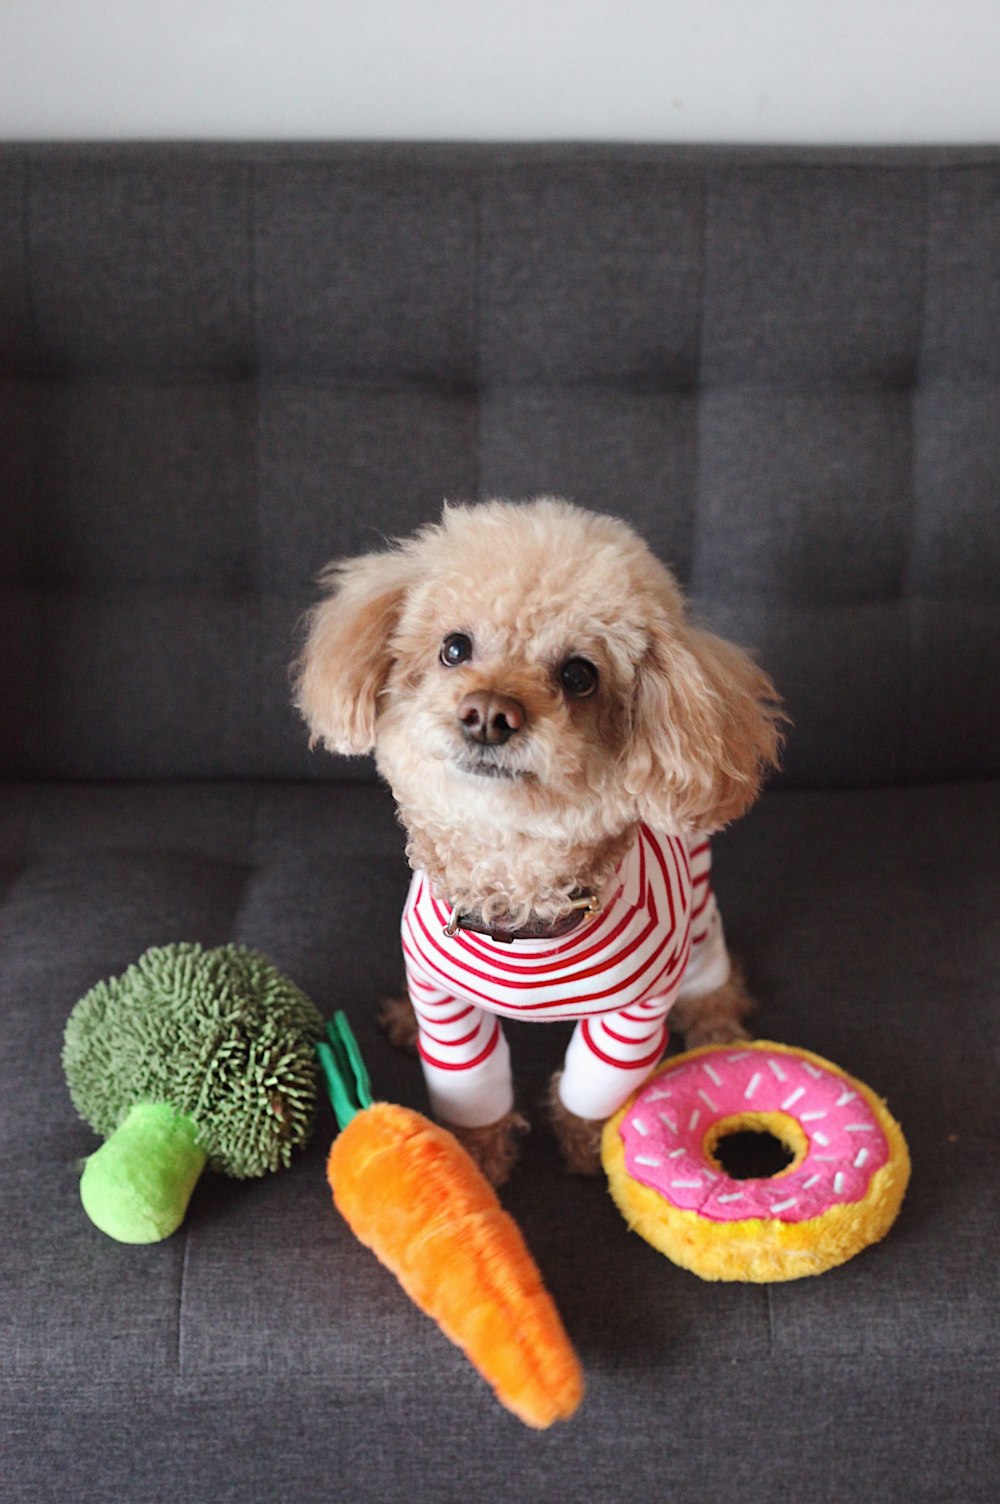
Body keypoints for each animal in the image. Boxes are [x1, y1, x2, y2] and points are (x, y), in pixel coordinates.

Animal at [294, 499, 781, 1179]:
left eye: (579, 675)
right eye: (454, 648)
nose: (488, 714)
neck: (516, 891)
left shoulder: (633, 1015)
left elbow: (591, 1086)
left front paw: (587, 1146)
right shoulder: (445, 1004)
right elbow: (472, 1091)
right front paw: (471, 1162)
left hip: (700, 917)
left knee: (715, 978)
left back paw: (717, 1027)